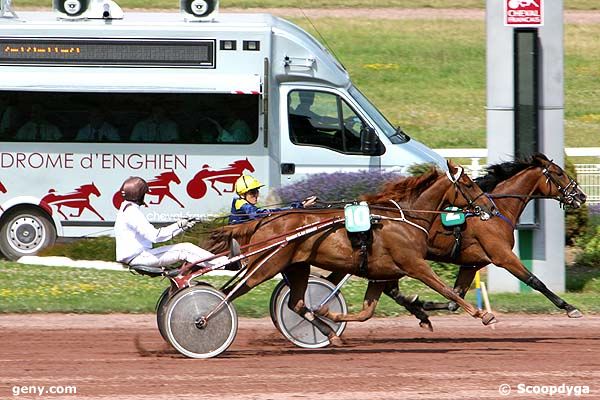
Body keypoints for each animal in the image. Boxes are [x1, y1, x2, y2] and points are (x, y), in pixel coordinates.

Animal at [206, 161, 496, 342]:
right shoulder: (415, 264)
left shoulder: (380, 274)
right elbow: (447, 290)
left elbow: (367, 312)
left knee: (296, 303)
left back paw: (330, 333)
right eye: (469, 184)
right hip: (267, 265)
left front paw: (329, 313)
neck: (404, 217)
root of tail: (262, 221)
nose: (490, 208)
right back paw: (204, 319)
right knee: (231, 293)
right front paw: (484, 315)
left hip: (297, 266)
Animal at [376, 153, 584, 328]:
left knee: (391, 289)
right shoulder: (503, 256)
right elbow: (535, 281)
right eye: (559, 173)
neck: (497, 210)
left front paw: (422, 303)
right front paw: (570, 308)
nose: (581, 196)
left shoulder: (472, 264)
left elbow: (454, 299)